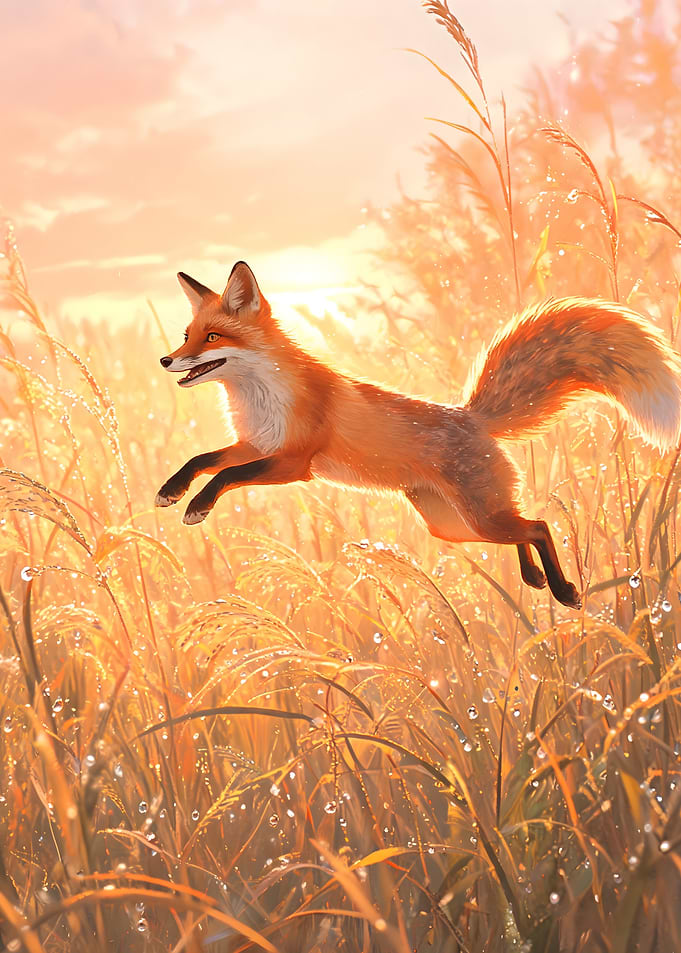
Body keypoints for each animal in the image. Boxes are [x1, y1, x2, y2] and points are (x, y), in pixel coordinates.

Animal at [156, 260, 681, 610]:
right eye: (186, 335)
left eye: (211, 338)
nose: (165, 359)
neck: (259, 397)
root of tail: (472, 416)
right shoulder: (256, 444)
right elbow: (202, 461)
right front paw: (171, 490)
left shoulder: (292, 462)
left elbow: (225, 477)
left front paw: (197, 507)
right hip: (456, 526)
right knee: (524, 525)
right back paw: (532, 577)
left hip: (477, 517)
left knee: (538, 526)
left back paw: (563, 589)